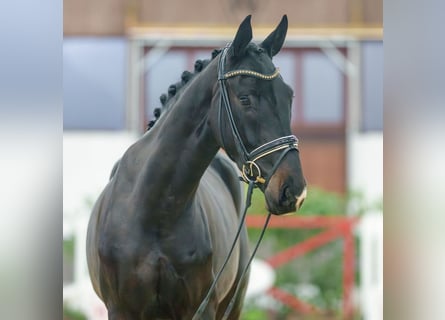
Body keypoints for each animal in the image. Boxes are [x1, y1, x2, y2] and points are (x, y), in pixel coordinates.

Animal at [86, 15, 306, 320]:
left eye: (289, 96)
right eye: (246, 98)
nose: (293, 191)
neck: (153, 211)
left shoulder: (202, 308)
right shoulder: (120, 309)